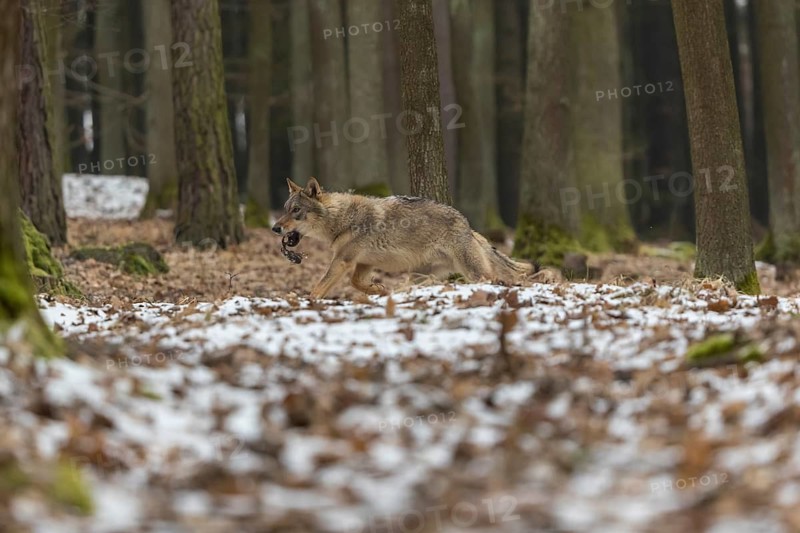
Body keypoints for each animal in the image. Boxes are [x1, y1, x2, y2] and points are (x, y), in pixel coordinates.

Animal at [272, 177, 534, 298]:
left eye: (296, 211)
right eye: (285, 209)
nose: (274, 228)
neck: (342, 218)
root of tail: (468, 226)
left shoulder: (343, 261)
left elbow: (318, 288)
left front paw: (310, 302)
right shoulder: (364, 263)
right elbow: (356, 282)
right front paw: (377, 289)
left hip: (473, 272)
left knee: (499, 279)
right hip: (421, 275)